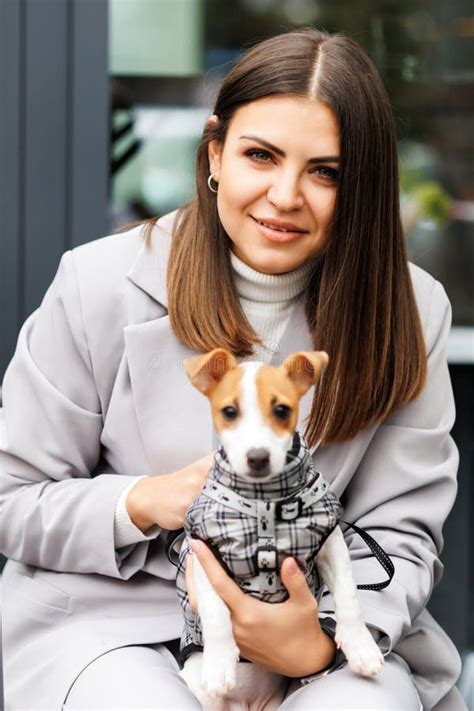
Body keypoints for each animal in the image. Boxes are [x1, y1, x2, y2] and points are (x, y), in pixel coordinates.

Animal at [176, 350, 384, 711]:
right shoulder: (203, 553)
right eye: (229, 412)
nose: (258, 457)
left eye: (282, 410)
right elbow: (215, 611)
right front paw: (218, 665)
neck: (266, 501)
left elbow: (348, 594)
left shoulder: (329, 541)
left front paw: (361, 647)